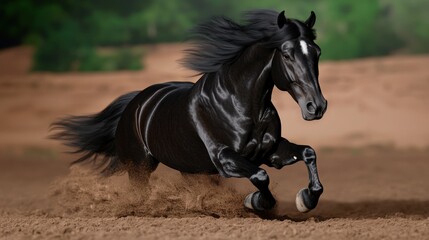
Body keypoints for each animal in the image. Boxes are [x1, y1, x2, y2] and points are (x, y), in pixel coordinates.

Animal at [53, 9, 328, 212]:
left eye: (317, 52)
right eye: (287, 54)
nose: (316, 106)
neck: (242, 105)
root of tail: (137, 103)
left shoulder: (270, 152)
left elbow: (308, 153)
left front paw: (306, 200)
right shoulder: (224, 158)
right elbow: (260, 176)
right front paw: (255, 202)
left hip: (189, 167)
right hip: (140, 167)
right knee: (139, 192)